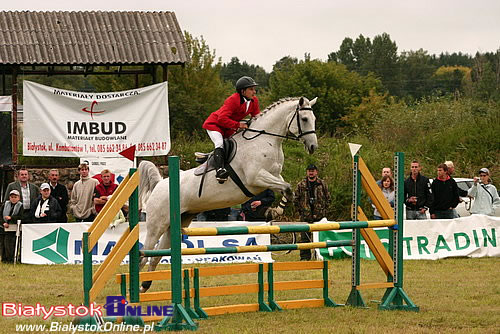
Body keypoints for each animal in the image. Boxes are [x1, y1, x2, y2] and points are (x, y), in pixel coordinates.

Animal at [138, 96, 316, 290]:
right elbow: (286, 187)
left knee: (155, 256)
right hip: (157, 225)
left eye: (314, 119)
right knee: (144, 255)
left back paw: (145, 285)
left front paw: (275, 211)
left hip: (176, 224)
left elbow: (286, 188)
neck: (264, 141)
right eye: (304, 119)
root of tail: (159, 184)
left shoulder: (273, 176)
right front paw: (274, 211)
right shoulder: (256, 178)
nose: (313, 147)